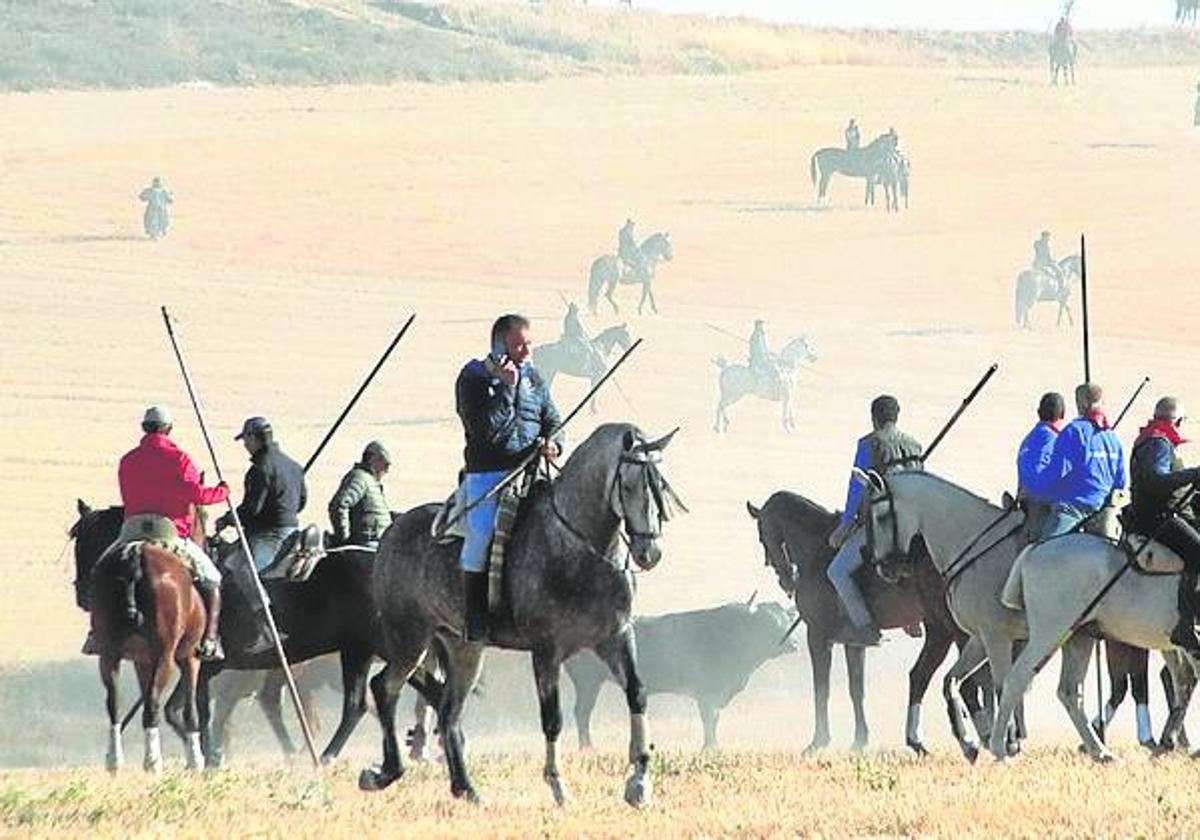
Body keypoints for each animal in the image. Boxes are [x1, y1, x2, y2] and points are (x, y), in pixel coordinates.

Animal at [70, 499, 439, 768]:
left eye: (83, 541)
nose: (83, 594)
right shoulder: (206, 669)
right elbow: (188, 711)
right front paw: (211, 756)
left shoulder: (203, 665)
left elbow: (193, 711)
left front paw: (208, 756)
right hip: (363, 650)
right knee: (385, 697)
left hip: (372, 649)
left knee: (368, 700)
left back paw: (327, 756)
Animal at [355, 427, 681, 806]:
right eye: (628, 486)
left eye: (661, 484)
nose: (650, 552)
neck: (578, 547)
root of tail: (392, 531)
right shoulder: (546, 651)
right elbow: (552, 719)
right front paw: (558, 786)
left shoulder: (617, 636)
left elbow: (637, 693)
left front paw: (639, 782)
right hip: (409, 639)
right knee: (385, 687)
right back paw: (384, 773)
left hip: (464, 649)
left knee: (449, 711)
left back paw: (467, 789)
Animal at [988, 535, 1195, 763]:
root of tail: (1037, 548)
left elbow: (1184, 682)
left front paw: (1172, 742)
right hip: (1049, 633)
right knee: (1016, 680)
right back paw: (1000, 751)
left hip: (1079, 637)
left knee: (1069, 692)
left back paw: (1100, 751)